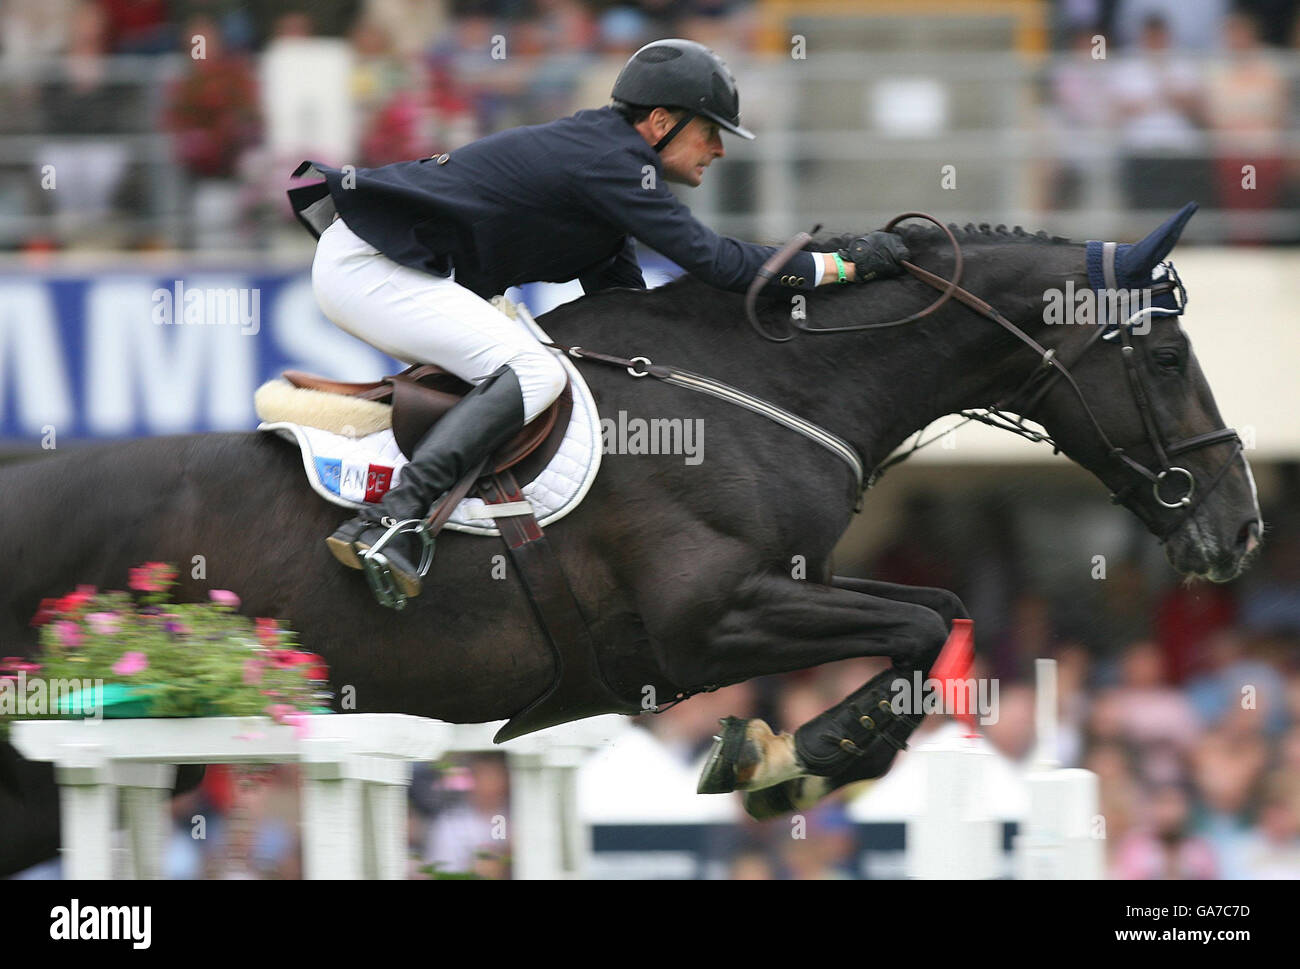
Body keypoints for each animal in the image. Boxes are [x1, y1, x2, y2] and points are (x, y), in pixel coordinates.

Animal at [0, 213, 1258, 879]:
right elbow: (918, 623)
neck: (771, 385)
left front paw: (790, 754)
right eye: (1163, 359)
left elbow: (939, 615)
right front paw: (795, 755)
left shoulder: (777, 591)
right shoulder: (707, 623)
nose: (1239, 527)